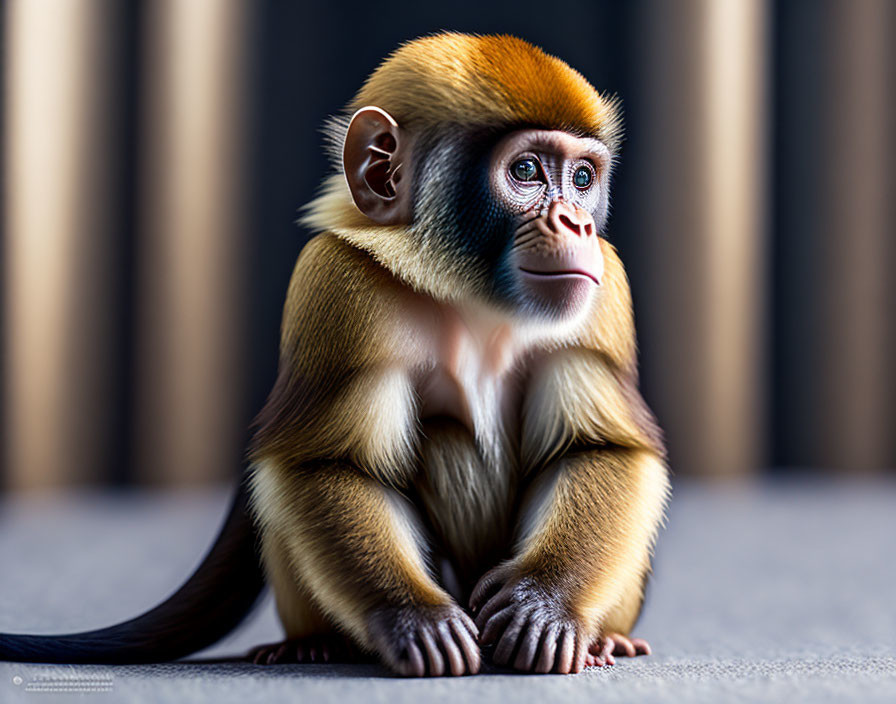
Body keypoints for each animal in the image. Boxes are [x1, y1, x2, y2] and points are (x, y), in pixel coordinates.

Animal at [0, 33, 664, 676]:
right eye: (526, 169)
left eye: (583, 179)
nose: (576, 224)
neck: (469, 295)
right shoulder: (335, 282)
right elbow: (325, 462)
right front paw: (413, 617)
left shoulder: (608, 288)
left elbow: (603, 447)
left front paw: (543, 605)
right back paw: (315, 642)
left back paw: (606, 638)